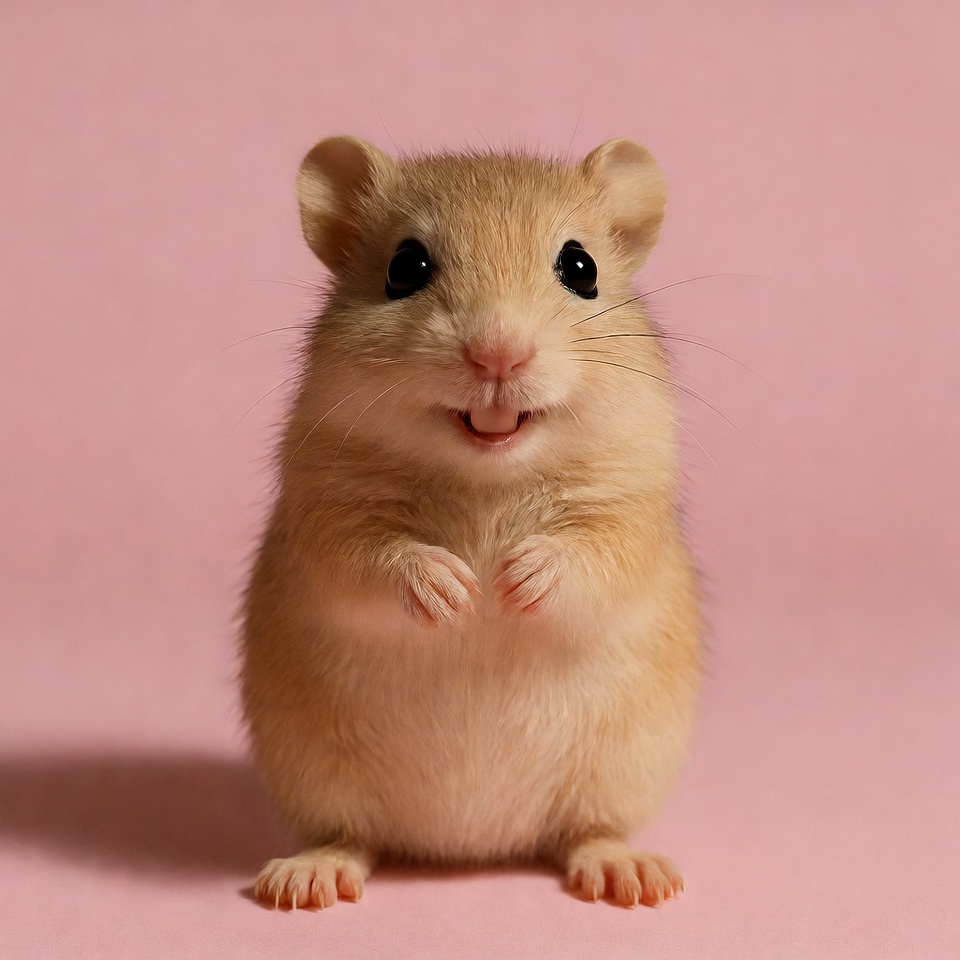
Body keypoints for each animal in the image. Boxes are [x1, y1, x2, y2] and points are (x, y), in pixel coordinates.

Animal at [240, 135, 702, 910]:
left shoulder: (630, 503)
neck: (488, 471)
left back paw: (630, 876)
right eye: (405, 268)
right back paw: (307, 879)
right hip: (319, 777)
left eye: (581, 268)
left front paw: (515, 580)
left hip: (619, 770)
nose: (498, 356)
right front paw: (454, 590)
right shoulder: (323, 510)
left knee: (589, 831)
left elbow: (596, 552)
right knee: (348, 837)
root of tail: (471, 844)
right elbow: (367, 558)